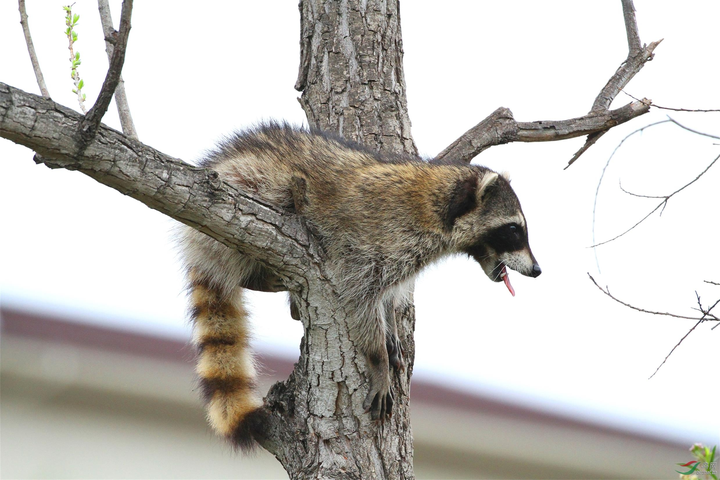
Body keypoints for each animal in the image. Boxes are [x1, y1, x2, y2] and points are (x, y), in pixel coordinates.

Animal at [179, 121, 540, 450]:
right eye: (513, 230)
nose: (537, 270)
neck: (437, 206)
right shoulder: (370, 239)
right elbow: (359, 298)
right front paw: (378, 358)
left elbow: (387, 296)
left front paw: (390, 328)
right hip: (243, 191)